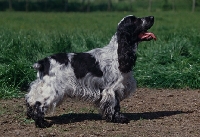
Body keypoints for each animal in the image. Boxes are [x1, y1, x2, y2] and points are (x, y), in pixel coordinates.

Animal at [25, 15, 156, 127]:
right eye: (135, 20)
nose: (152, 17)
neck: (117, 53)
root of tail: (44, 62)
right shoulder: (111, 88)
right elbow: (114, 105)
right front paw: (118, 119)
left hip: (42, 85)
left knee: (30, 99)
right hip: (53, 89)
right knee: (39, 103)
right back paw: (42, 123)